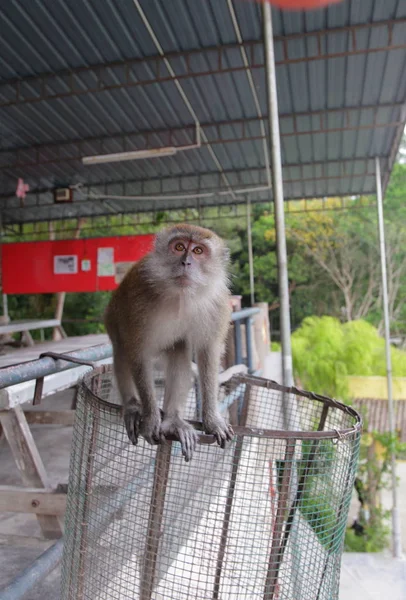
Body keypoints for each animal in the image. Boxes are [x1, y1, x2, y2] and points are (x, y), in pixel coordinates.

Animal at [103, 223, 233, 462]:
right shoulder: (139, 299)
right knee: (122, 349)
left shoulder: (218, 304)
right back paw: (132, 406)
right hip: (112, 319)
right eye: (179, 247)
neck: (181, 296)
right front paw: (150, 419)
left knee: (179, 349)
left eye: (198, 251)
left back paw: (173, 420)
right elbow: (137, 353)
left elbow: (208, 354)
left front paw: (212, 419)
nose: (186, 262)